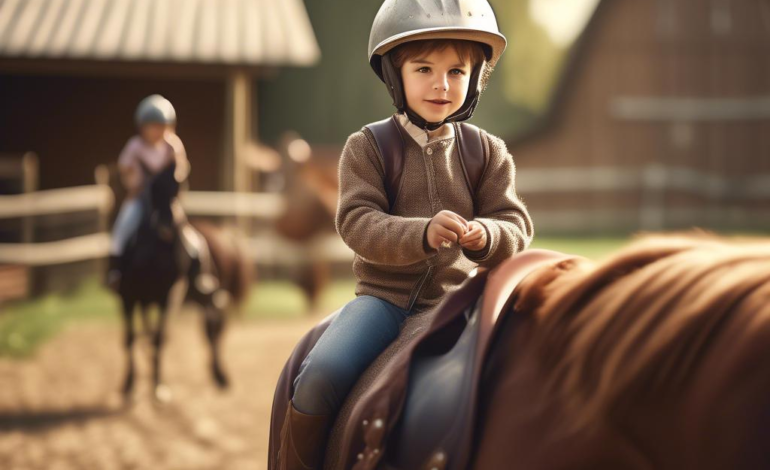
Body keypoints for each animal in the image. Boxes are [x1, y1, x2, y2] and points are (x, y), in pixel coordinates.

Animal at [118, 163, 249, 402]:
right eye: (154, 187)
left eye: (179, 187)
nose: (167, 224)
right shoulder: (128, 297)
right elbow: (132, 337)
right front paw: (129, 384)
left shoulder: (165, 298)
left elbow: (159, 338)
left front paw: (158, 387)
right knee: (212, 326)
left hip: (202, 295)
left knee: (214, 326)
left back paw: (220, 375)